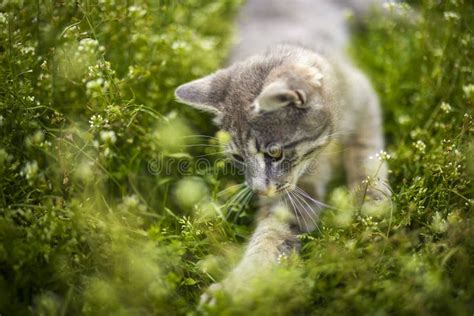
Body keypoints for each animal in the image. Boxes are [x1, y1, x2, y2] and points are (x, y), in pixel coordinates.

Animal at [176, 0, 390, 304]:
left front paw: (372, 201)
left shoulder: (363, 97)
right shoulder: (295, 194)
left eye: (274, 154)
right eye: (238, 157)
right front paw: (234, 289)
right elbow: (273, 236)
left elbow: (365, 152)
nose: (258, 190)